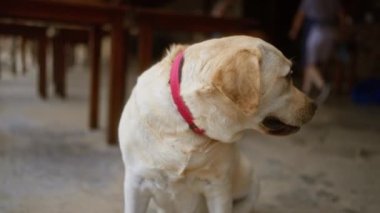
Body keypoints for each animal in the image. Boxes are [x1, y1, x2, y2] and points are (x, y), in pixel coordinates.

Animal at [120, 35, 316, 212]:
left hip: (252, 188)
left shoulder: (218, 187)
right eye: (289, 75)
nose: (314, 105)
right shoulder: (135, 183)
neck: (187, 127)